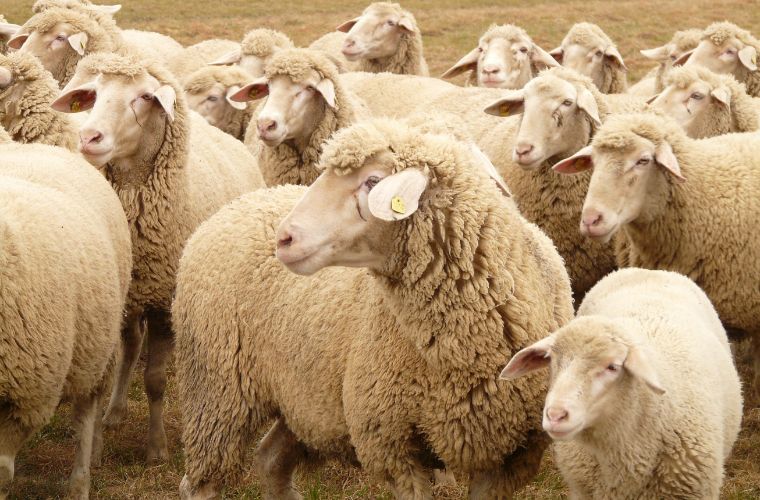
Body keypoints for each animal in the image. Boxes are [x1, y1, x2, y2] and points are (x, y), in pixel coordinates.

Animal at [51, 49, 265, 462]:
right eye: (94, 94)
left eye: (145, 98)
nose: (89, 137)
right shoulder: (119, 299)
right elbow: (115, 368)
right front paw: (96, 446)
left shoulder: (165, 302)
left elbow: (155, 380)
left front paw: (157, 448)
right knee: (131, 347)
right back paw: (116, 412)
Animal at [175, 117, 573, 499]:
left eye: (373, 181)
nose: (284, 239)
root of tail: (237, 205)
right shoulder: (392, 445)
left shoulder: (511, 457)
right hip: (217, 392)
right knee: (200, 484)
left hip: (303, 400)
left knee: (271, 460)